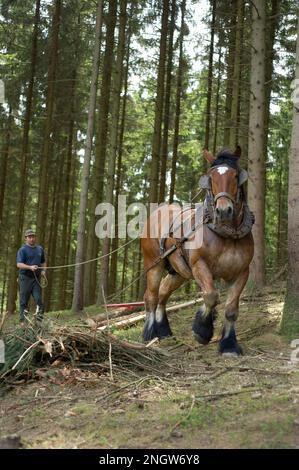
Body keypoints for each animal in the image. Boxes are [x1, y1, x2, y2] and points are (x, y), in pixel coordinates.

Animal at [142, 147, 254, 356]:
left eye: (236, 176)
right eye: (210, 177)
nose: (223, 211)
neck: (227, 233)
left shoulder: (242, 272)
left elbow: (231, 309)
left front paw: (229, 345)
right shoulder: (199, 265)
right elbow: (210, 295)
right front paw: (202, 330)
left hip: (179, 272)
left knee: (163, 293)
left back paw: (163, 331)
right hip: (154, 263)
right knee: (151, 296)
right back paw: (149, 334)